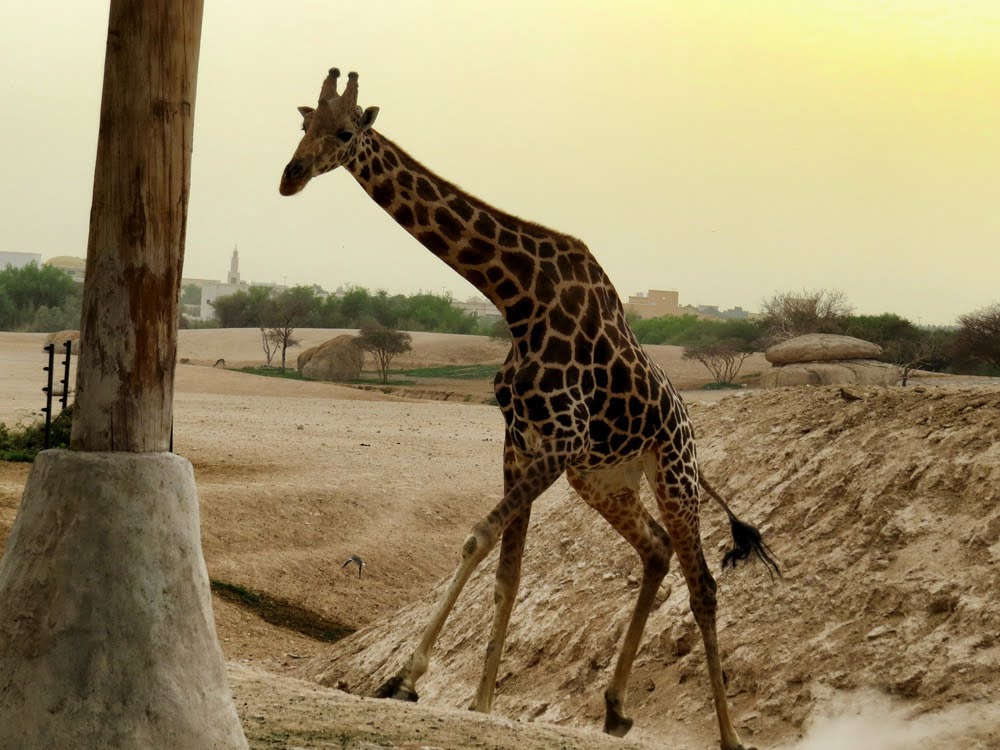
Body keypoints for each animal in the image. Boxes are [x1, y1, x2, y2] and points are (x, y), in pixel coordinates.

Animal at [278, 67, 776, 748]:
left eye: (346, 131)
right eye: (304, 123)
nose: (291, 175)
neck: (516, 297)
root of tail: (689, 429)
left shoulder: (560, 439)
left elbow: (477, 537)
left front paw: (405, 678)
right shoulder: (523, 441)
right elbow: (507, 572)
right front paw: (480, 701)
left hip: (671, 471)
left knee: (703, 583)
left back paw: (727, 736)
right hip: (603, 478)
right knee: (655, 550)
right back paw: (615, 708)